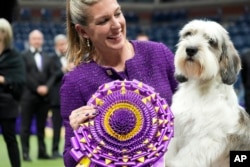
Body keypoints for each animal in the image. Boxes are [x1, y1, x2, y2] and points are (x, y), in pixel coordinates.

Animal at [165, 19, 250, 167]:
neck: (198, 88)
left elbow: (186, 158)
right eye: (188, 34)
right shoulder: (178, 128)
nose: (190, 49)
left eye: (211, 41)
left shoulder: (206, 138)